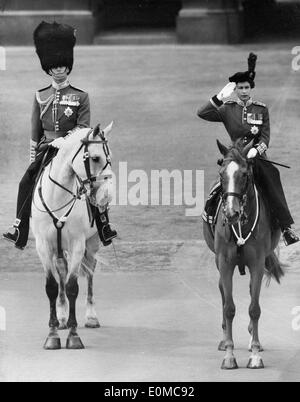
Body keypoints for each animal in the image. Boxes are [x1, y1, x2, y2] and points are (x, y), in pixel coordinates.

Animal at [31, 122, 113, 348]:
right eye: (96, 158)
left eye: (109, 157)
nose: (107, 195)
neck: (57, 197)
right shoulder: (43, 246)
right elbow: (52, 286)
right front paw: (52, 334)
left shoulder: (78, 245)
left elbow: (72, 286)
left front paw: (74, 335)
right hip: (58, 249)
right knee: (61, 272)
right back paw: (61, 317)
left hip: (92, 243)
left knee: (90, 272)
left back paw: (91, 316)